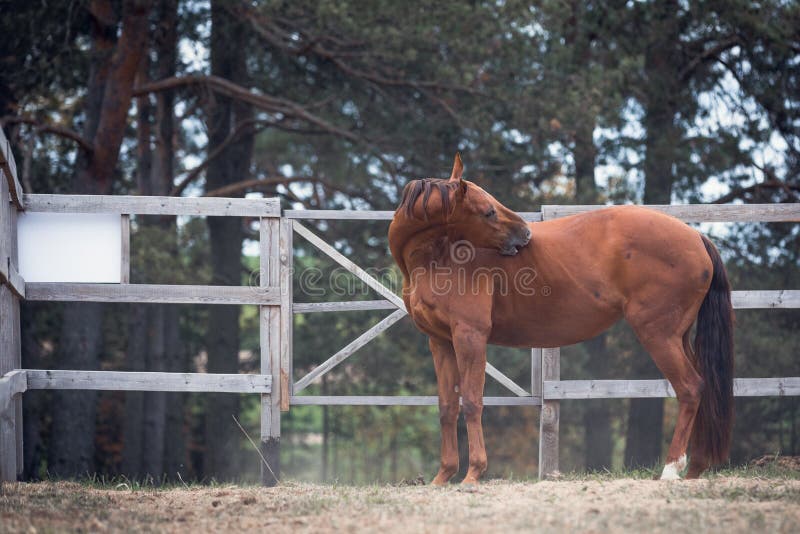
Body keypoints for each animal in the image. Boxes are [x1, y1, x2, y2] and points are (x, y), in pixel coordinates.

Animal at [386, 155, 732, 486]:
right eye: (488, 212)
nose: (525, 234)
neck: (439, 257)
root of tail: (696, 237)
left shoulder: (469, 336)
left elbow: (471, 402)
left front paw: (473, 473)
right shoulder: (441, 342)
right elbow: (447, 407)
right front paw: (443, 476)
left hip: (658, 335)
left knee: (690, 388)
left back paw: (671, 469)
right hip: (678, 337)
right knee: (701, 387)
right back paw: (694, 468)